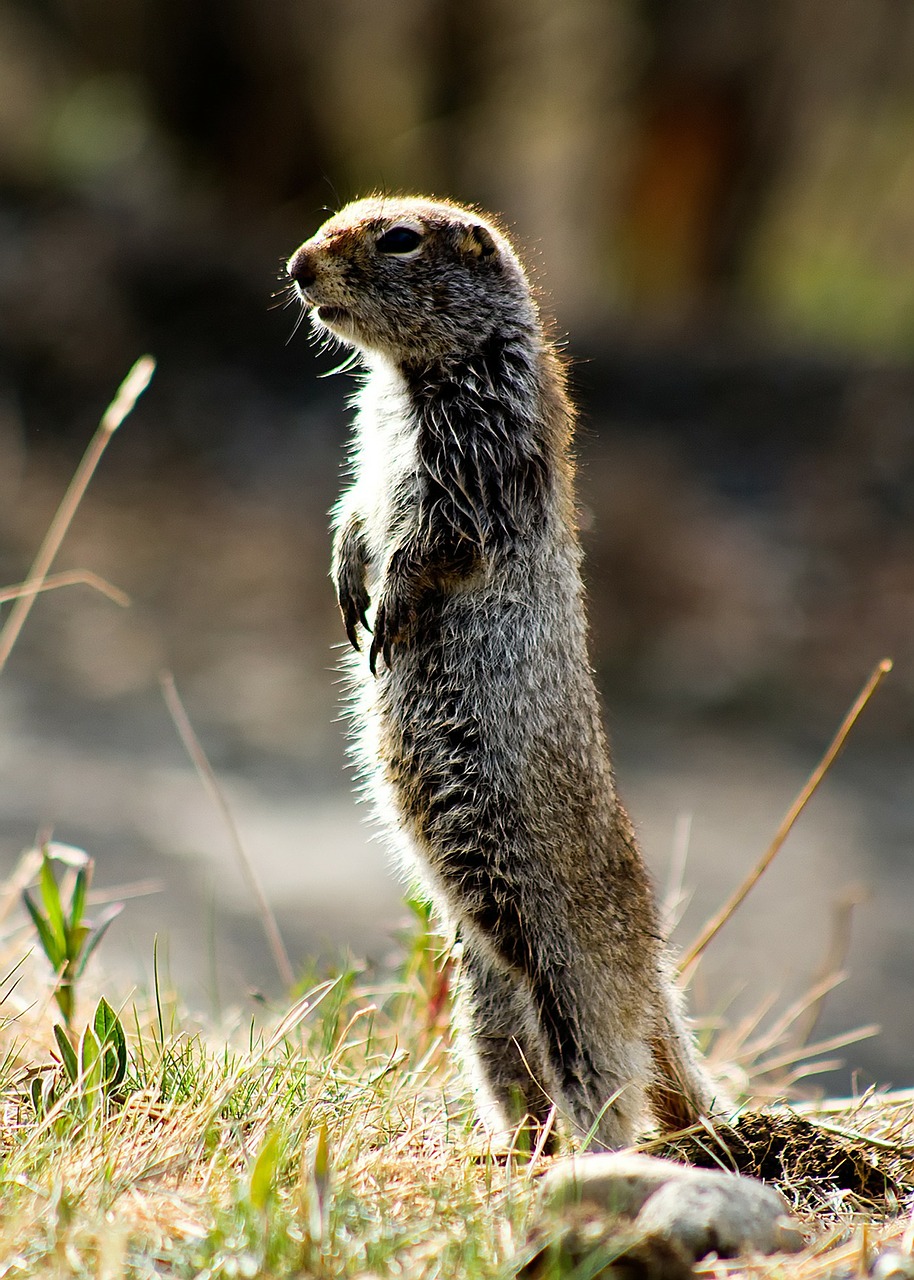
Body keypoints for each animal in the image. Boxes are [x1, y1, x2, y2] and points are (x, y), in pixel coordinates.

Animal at [288, 197, 721, 1152]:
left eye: (399, 239)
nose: (297, 267)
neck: (414, 378)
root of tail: (654, 977)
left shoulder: (478, 452)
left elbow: (436, 536)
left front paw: (390, 605)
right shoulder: (371, 443)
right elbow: (354, 506)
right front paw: (345, 577)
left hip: (572, 989)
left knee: (608, 1090)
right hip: (485, 999)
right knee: (522, 1083)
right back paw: (504, 1153)